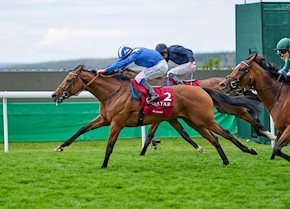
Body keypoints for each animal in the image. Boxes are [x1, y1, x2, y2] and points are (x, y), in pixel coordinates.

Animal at [52, 65, 258, 168]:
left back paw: (250, 150)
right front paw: (60, 146)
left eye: (69, 80)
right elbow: (81, 129)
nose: (54, 94)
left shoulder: (117, 122)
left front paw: (103, 165)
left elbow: (110, 145)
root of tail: (202, 90)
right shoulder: (105, 119)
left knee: (226, 133)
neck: (113, 92)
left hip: (205, 119)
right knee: (214, 138)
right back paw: (225, 160)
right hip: (195, 121)